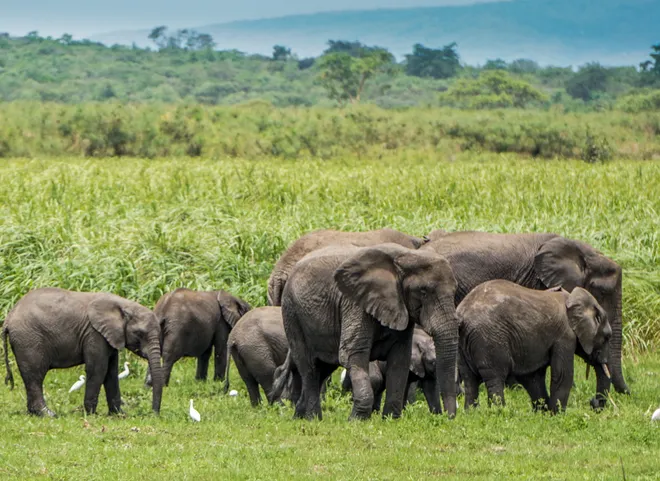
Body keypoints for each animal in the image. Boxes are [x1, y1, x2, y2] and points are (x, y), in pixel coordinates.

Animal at [2, 286, 164, 414]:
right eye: (139, 334)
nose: (154, 413)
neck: (123, 305)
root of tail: (8, 319)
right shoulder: (94, 334)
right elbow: (98, 369)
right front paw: (91, 414)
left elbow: (111, 372)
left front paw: (119, 414)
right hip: (29, 340)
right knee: (35, 376)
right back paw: (48, 414)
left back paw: (33, 413)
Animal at [270, 242, 456, 418]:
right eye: (423, 292)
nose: (449, 418)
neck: (406, 255)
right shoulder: (354, 303)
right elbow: (353, 354)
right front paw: (356, 420)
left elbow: (399, 359)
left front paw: (390, 419)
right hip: (292, 313)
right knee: (309, 367)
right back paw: (313, 419)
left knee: (323, 368)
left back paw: (299, 417)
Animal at [456, 280, 612, 410]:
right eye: (607, 337)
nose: (593, 402)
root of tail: (463, 315)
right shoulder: (565, 336)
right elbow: (562, 374)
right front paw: (556, 415)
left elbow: (533, 377)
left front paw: (543, 412)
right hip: (490, 340)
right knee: (495, 379)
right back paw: (498, 412)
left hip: (463, 344)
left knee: (470, 380)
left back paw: (472, 413)